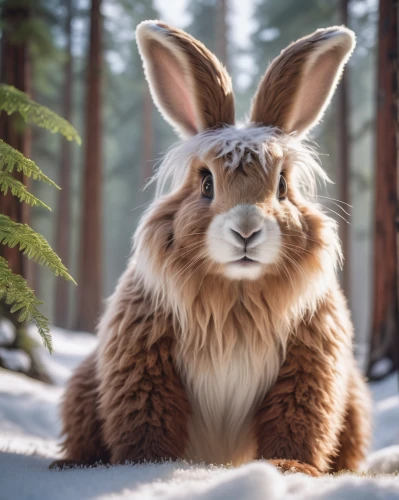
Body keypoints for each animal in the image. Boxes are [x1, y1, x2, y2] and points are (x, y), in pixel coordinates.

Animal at [57, 20, 374, 476]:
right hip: (83, 388)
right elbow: (145, 420)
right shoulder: (142, 363)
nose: (245, 230)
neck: (237, 295)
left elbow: (299, 422)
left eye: (282, 185)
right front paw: (146, 467)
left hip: (354, 401)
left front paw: (289, 468)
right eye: (206, 183)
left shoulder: (310, 365)